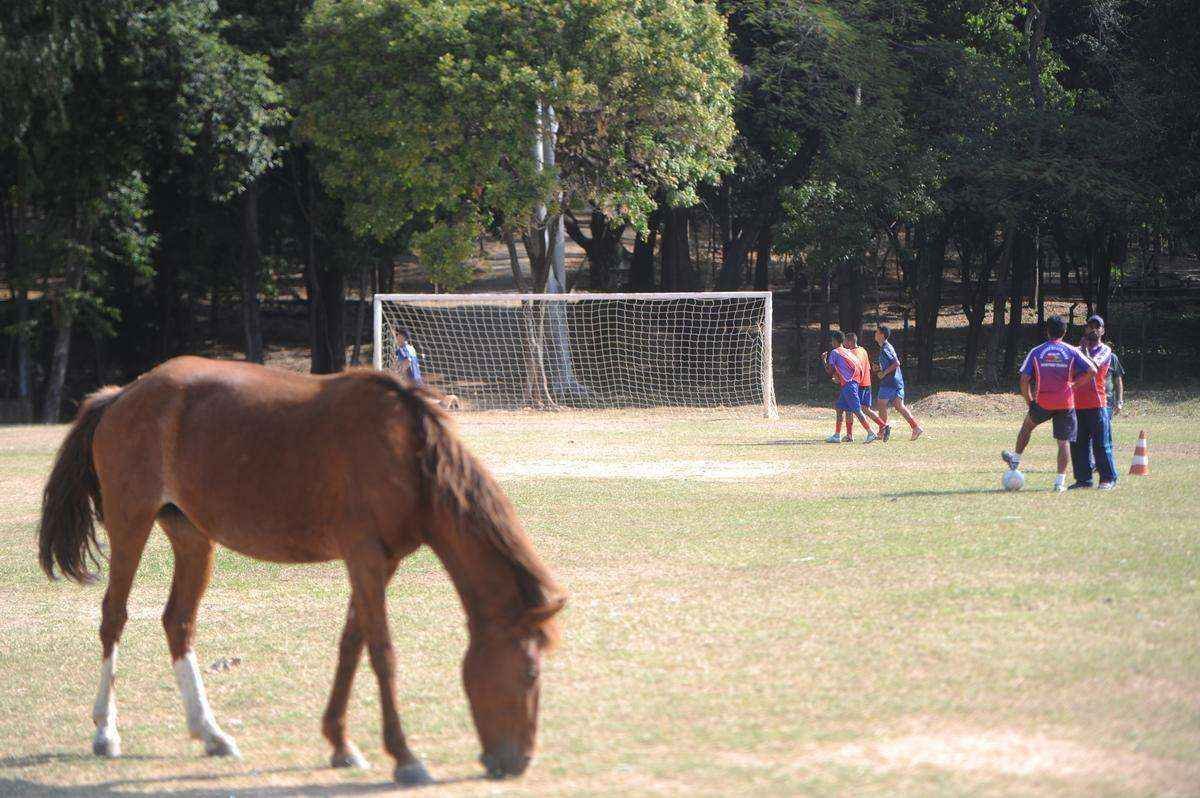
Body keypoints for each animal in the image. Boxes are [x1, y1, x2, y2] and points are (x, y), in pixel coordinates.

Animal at [37, 356, 566, 784]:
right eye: (529, 673)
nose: (517, 762)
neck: (409, 456)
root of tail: (123, 393)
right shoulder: (365, 557)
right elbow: (382, 653)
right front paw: (405, 756)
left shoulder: (382, 563)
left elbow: (352, 645)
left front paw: (340, 743)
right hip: (131, 521)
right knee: (114, 617)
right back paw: (106, 732)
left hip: (191, 537)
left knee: (178, 622)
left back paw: (210, 733)